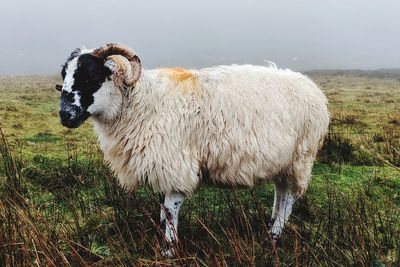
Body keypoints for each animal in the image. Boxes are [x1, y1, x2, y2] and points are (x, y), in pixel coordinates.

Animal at [57, 43, 330, 258]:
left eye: (92, 75)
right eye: (65, 74)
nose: (65, 115)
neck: (141, 103)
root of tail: (313, 89)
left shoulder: (176, 167)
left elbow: (170, 211)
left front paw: (169, 251)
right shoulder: (162, 167)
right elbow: (161, 211)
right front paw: (164, 244)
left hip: (301, 158)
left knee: (289, 198)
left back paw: (274, 236)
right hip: (283, 161)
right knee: (280, 194)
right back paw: (269, 234)